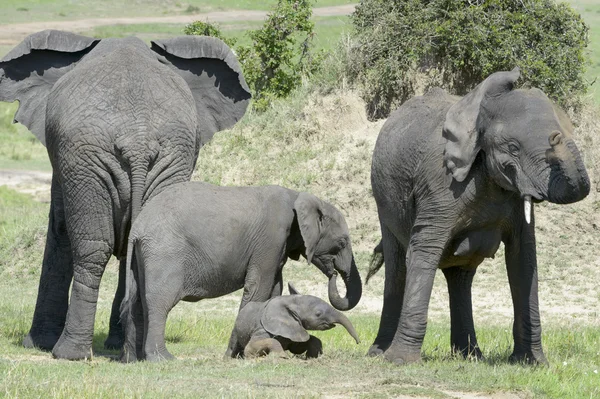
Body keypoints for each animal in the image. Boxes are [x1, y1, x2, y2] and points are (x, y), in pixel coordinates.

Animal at [0, 29, 251, 360]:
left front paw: (37, 343)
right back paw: (132, 354)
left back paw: (68, 353)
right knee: (144, 241)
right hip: (166, 159)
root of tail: (137, 139)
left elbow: (59, 226)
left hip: (88, 161)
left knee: (92, 249)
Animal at [226, 284, 358, 360]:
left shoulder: (293, 329)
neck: (290, 301)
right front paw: (282, 357)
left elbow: (300, 345)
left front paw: (313, 357)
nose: (358, 342)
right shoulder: (262, 329)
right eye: (318, 314)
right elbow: (252, 346)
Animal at [366, 68, 592, 366]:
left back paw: (469, 356)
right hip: (384, 201)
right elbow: (423, 251)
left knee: (460, 276)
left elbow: (523, 260)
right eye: (513, 147)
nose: (556, 137)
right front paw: (400, 362)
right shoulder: (439, 184)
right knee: (397, 265)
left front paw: (532, 363)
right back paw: (378, 354)